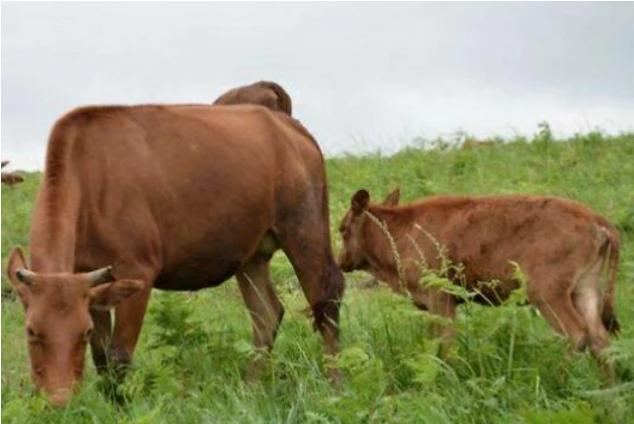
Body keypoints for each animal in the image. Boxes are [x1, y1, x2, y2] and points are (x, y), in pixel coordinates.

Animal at [4, 103, 344, 408]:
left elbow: (119, 355)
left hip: (304, 225)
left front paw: (122, 408)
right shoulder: (92, 283)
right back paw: (251, 390)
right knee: (267, 314)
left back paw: (335, 387)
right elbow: (101, 358)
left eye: (82, 331)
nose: (59, 400)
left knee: (326, 299)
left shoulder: (137, 269)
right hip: (251, 254)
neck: (90, 182)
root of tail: (290, 126)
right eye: (31, 331)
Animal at [338, 190, 620, 380]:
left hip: (548, 294)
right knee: (599, 339)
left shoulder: (441, 298)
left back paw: (558, 379)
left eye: (342, 229)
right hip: (585, 289)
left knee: (578, 334)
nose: (341, 261)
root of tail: (598, 221)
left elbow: (446, 343)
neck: (400, 231)